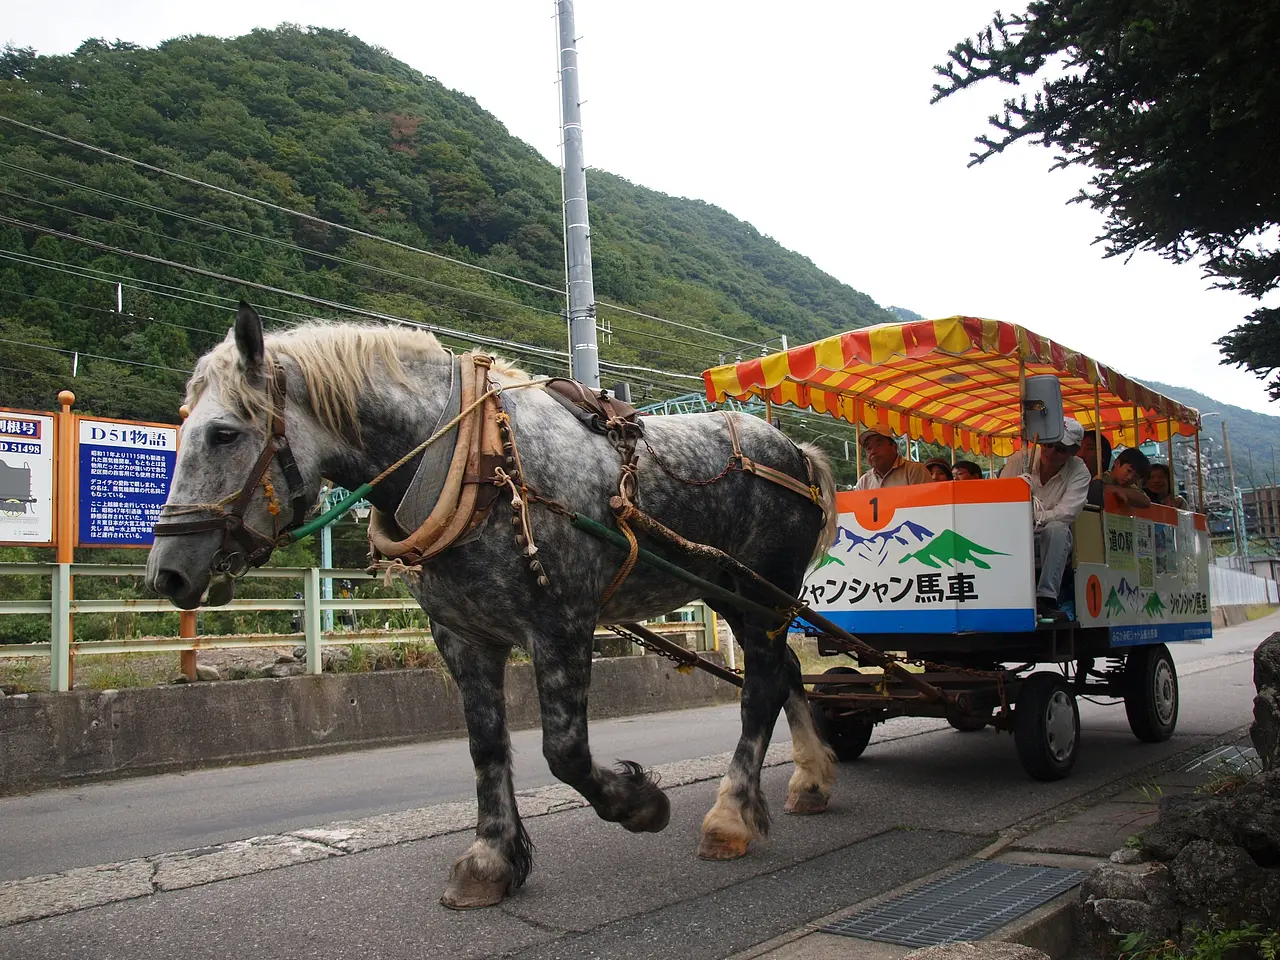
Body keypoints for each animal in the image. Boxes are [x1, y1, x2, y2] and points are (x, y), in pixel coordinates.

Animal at [147, 305, 839, 911]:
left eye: (224, 434)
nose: (166, 572)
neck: (472, 457)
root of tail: (797, 452)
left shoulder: (562, 623)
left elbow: (564, 752)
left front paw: (641, 804)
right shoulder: (462, 634)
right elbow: (485, 746)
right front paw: (490, 861)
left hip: (764, 593)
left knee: (759, 690)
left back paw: (730, 816)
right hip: (732, 594)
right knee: (784, 672)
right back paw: (810, 779)